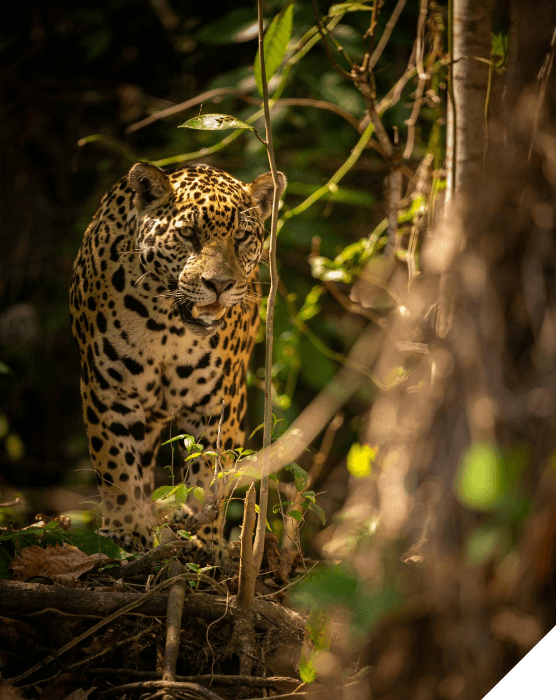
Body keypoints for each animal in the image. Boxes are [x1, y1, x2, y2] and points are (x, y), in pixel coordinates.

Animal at [70, 161, 286, 554]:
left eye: (241, 237)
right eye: (187, 233)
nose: (219, 284)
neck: (165, 326)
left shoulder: (219, 399)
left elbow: (209, 470)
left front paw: (203, 537)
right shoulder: (107, 389)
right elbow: (115, 464)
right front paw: (127, 529)